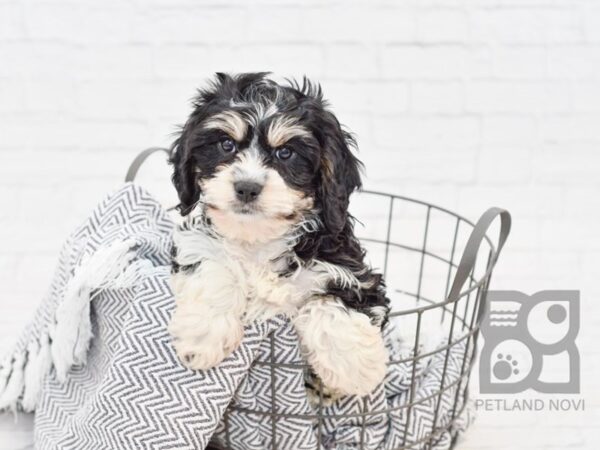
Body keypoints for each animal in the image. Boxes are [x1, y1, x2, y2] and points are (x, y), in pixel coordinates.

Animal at [168, 74, 390, 400]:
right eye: (226, 144)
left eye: (285, 153)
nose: (247, 187)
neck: (260, 240)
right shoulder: (197, 244)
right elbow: (215, 267)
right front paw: (203, 336)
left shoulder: (352, 271)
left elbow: (331, 301)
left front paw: (353, 368)